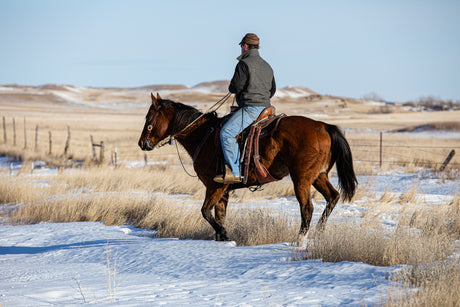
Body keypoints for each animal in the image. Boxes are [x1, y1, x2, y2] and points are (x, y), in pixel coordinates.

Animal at [138, 92, 358, 242]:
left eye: (149, 117)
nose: (142, 143)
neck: (204, 136)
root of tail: (324, 126)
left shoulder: (214, 186)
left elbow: (205, 212)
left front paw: (224, 234)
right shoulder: (224, 191)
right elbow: (219, 215)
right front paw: (222, 237)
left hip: (301, 178)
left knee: (307, 208)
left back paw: (299, 241)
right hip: (319, 176)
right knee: (332, 197)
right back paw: (319, 234)